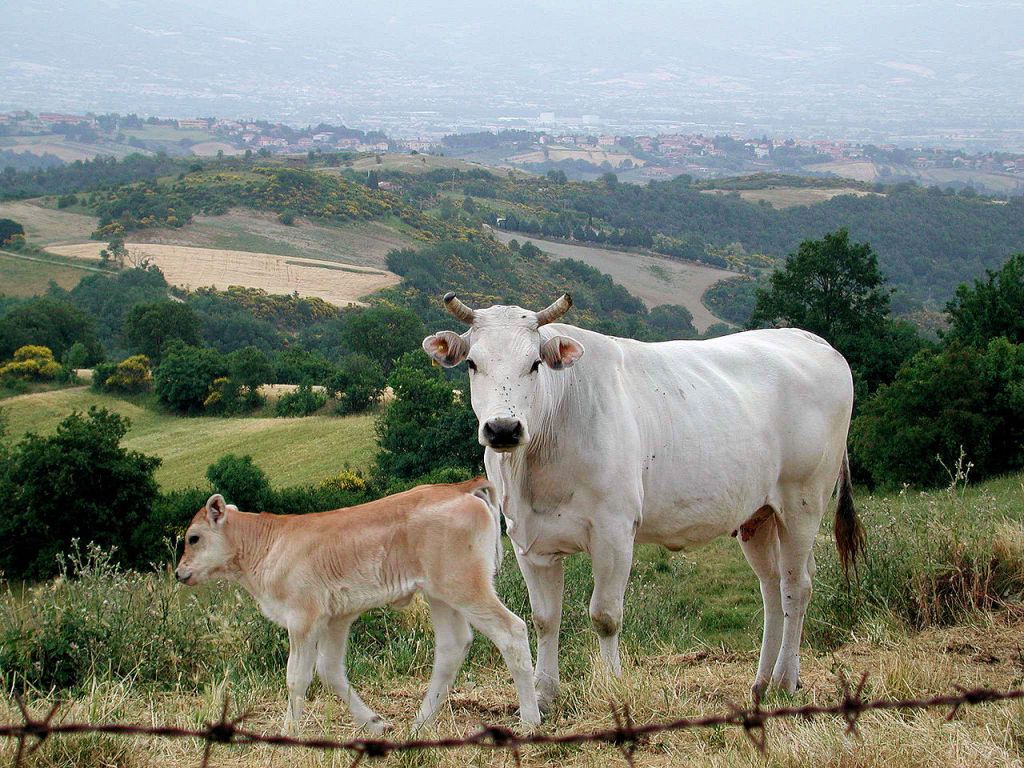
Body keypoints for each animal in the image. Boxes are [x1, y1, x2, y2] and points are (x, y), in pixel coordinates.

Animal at [175, 480, 541, 734]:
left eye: (193, 538)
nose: (178, 573)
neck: (269, 545)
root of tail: (459, 487)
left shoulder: (303, 618)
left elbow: (297, 677)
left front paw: (289, 731)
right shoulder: (336, 619)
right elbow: (330, 671)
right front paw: (376, 723)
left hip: (466, 586)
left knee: (511, 631)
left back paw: (530, 720)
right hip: (440, 595)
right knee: (452, 647)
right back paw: (420, 724)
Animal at [422, 292, 864, 711]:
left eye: (534, 364)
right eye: (472, 364)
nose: (503, 429)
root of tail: (809, 338)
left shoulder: (614, 530)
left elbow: (605, 616)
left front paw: (613, 687)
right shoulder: (527, 538)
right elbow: (545, 618)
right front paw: (545, 695)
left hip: (803, 501)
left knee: (796, 587)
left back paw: (786, 680)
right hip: (759, 514)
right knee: (772, 590)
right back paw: (761, 683)